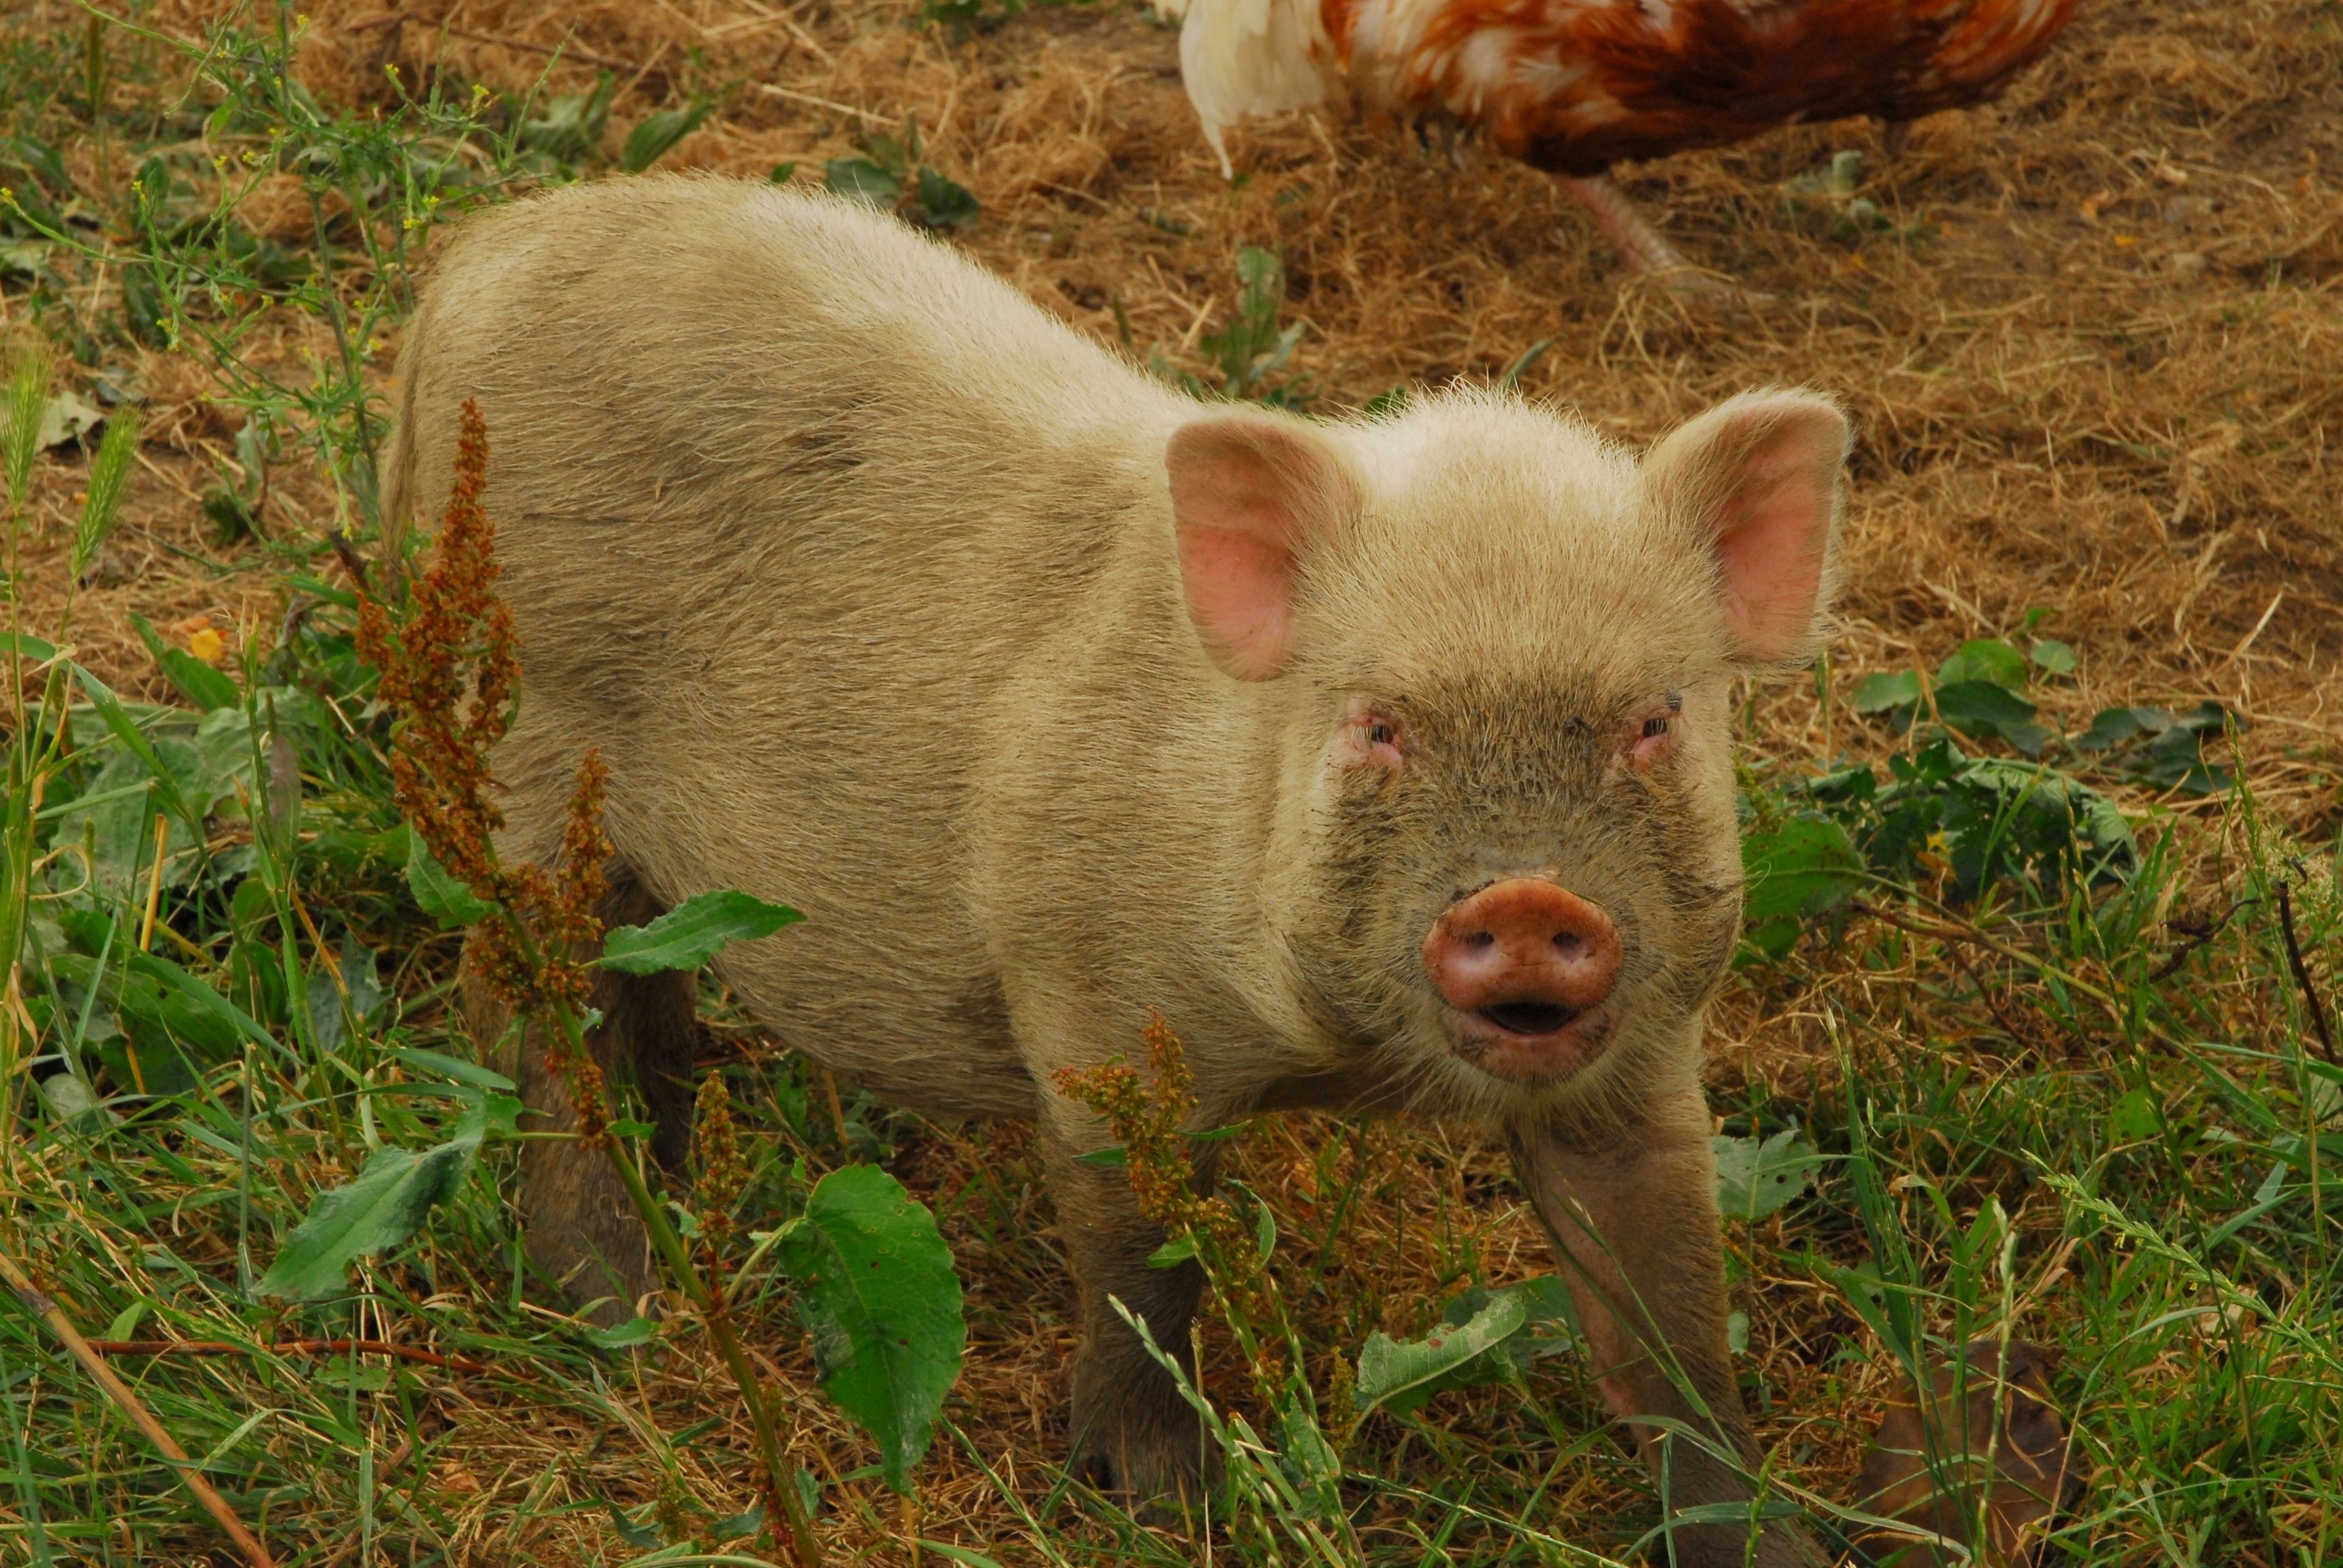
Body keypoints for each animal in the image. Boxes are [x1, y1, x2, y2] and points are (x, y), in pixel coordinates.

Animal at [386, 175, 1848, 1568]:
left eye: (1655, 718)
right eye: (1379, 722)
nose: (1531, 899)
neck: (1346, 1067)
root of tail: (479, 255)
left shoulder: (1648, 1053)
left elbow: (1668, 1309)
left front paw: (1768, 1542)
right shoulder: (1093, 1002)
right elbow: (1142, 1266)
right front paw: (1166, 1508)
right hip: (524, 739)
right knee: (539, 1014)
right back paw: (613, 1319)